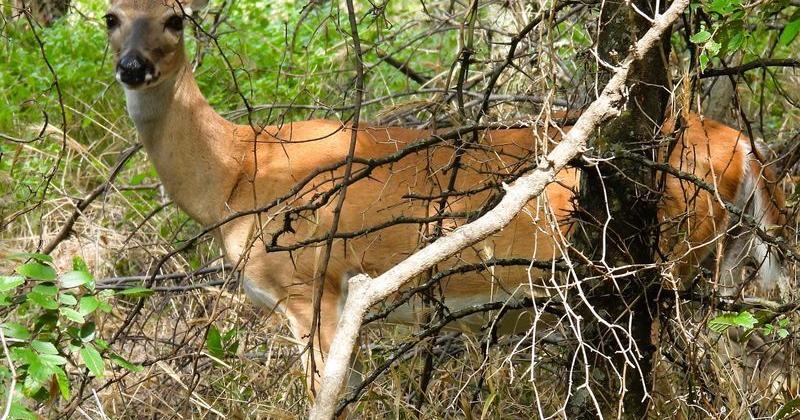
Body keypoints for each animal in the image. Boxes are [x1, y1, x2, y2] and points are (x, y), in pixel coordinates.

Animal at [104, 0, 788, 400]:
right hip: (721, 260)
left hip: (665, 259)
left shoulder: (312, 284)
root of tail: (740, 144)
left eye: (176, 18)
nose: (133, 67)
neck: (237, 175)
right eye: (110, 16)